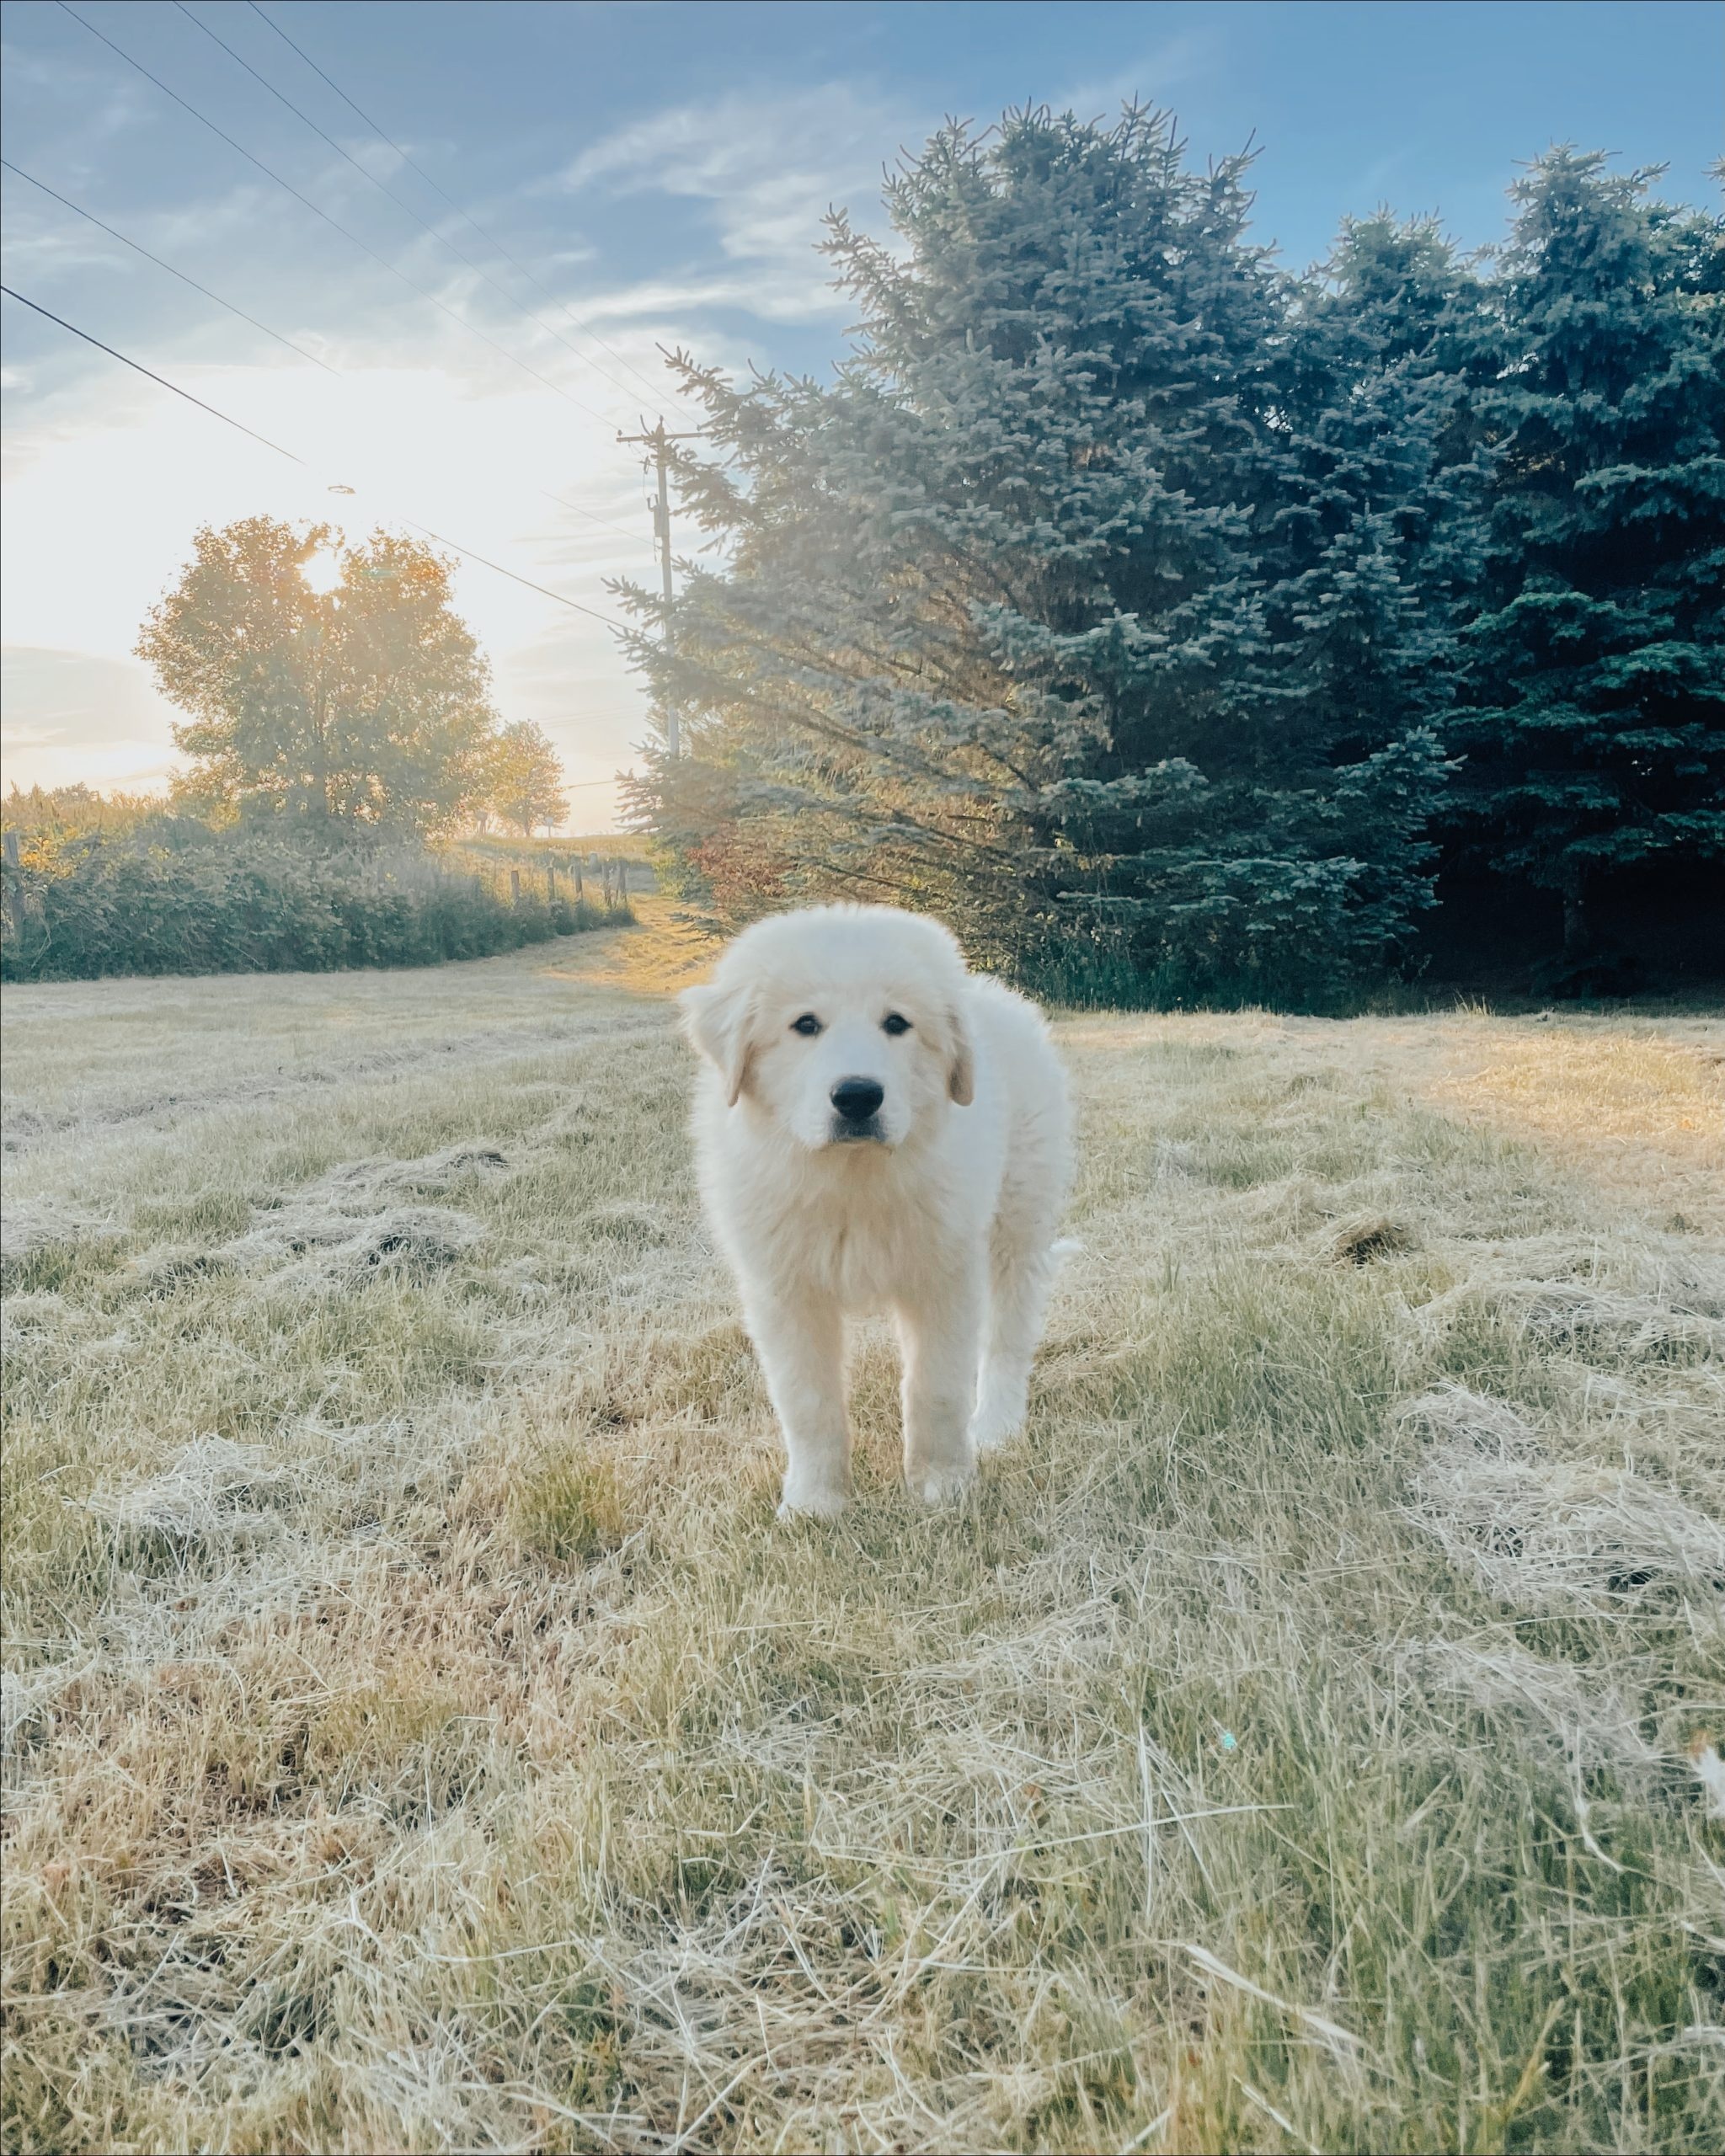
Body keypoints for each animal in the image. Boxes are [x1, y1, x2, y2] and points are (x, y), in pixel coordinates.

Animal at [681, 905, 1069, 1518]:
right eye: (806, 1025)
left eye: (896, 1023)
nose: (858, 1096)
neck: (851, 1178)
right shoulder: (786, 1292)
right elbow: (808, 1403)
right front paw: (815, 1503)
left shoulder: (943, 1277)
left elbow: (935, 1389)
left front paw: (942, 1488)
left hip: (1019, 1219)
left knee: (1009, 1332)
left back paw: (997, 1425)